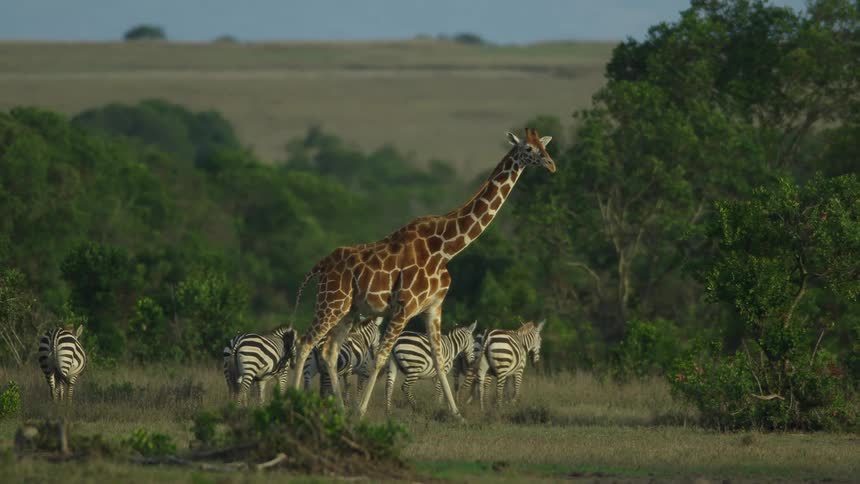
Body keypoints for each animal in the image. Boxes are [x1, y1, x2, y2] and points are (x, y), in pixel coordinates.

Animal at [289, 128, 556, 418]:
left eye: (544, 146)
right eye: (528, 149)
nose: (551, 164)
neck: (445, 248)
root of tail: (321, 265)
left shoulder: (433, 306)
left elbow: (440, 360)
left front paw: (457, 414)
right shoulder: (403, 307)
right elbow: (381, 358)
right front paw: (360, 412)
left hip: (348, 310)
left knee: (328, 350)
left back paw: (338, 408)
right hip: (331, 303)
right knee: (304, 343)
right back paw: (292, 400)